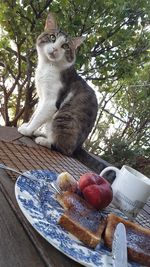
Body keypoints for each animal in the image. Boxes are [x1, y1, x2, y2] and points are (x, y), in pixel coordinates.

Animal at [18, 13, 98, 157]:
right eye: (52, 37)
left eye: (65, 46)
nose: (55, 49)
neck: (48, 66)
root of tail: (79, 147)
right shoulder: (42, 98)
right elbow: (36, 115)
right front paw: (28, 126)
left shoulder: (51, 101)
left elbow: (38, 117)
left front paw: (27, 131)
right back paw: (40, 133)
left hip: (63, 117)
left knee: (64, 148)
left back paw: (43, 140)